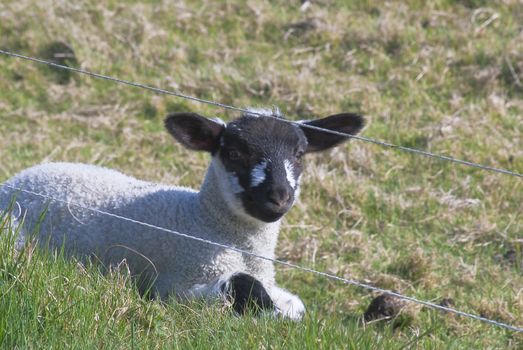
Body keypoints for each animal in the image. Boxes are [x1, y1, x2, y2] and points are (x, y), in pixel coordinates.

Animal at [1, 107, 364, 320]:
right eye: (234, 153)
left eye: (300, 154)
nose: (278, 197)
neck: (205, 221)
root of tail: (17, 178)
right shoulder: (177, 286)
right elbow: (243, 288)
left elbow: (296, 306)